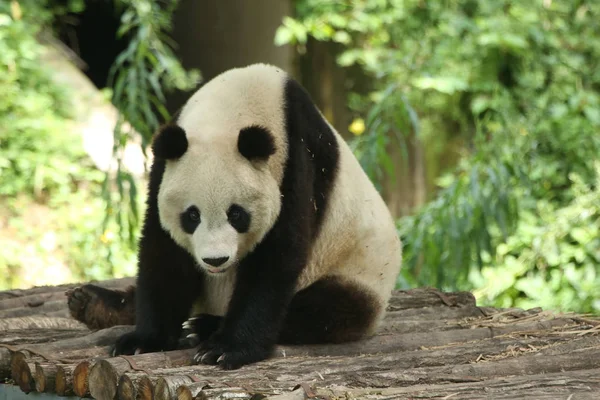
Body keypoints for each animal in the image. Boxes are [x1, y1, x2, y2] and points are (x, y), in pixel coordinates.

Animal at [112, 63, 404, 368]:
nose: (215, 260)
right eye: (192, 216)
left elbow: (276, 258)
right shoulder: (164, 168)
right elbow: (163, 252)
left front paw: (226, 348)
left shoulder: (297, 162)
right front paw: (143, 340)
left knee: (329, 310)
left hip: (357, 270)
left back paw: (202, 327)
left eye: (236, 214)